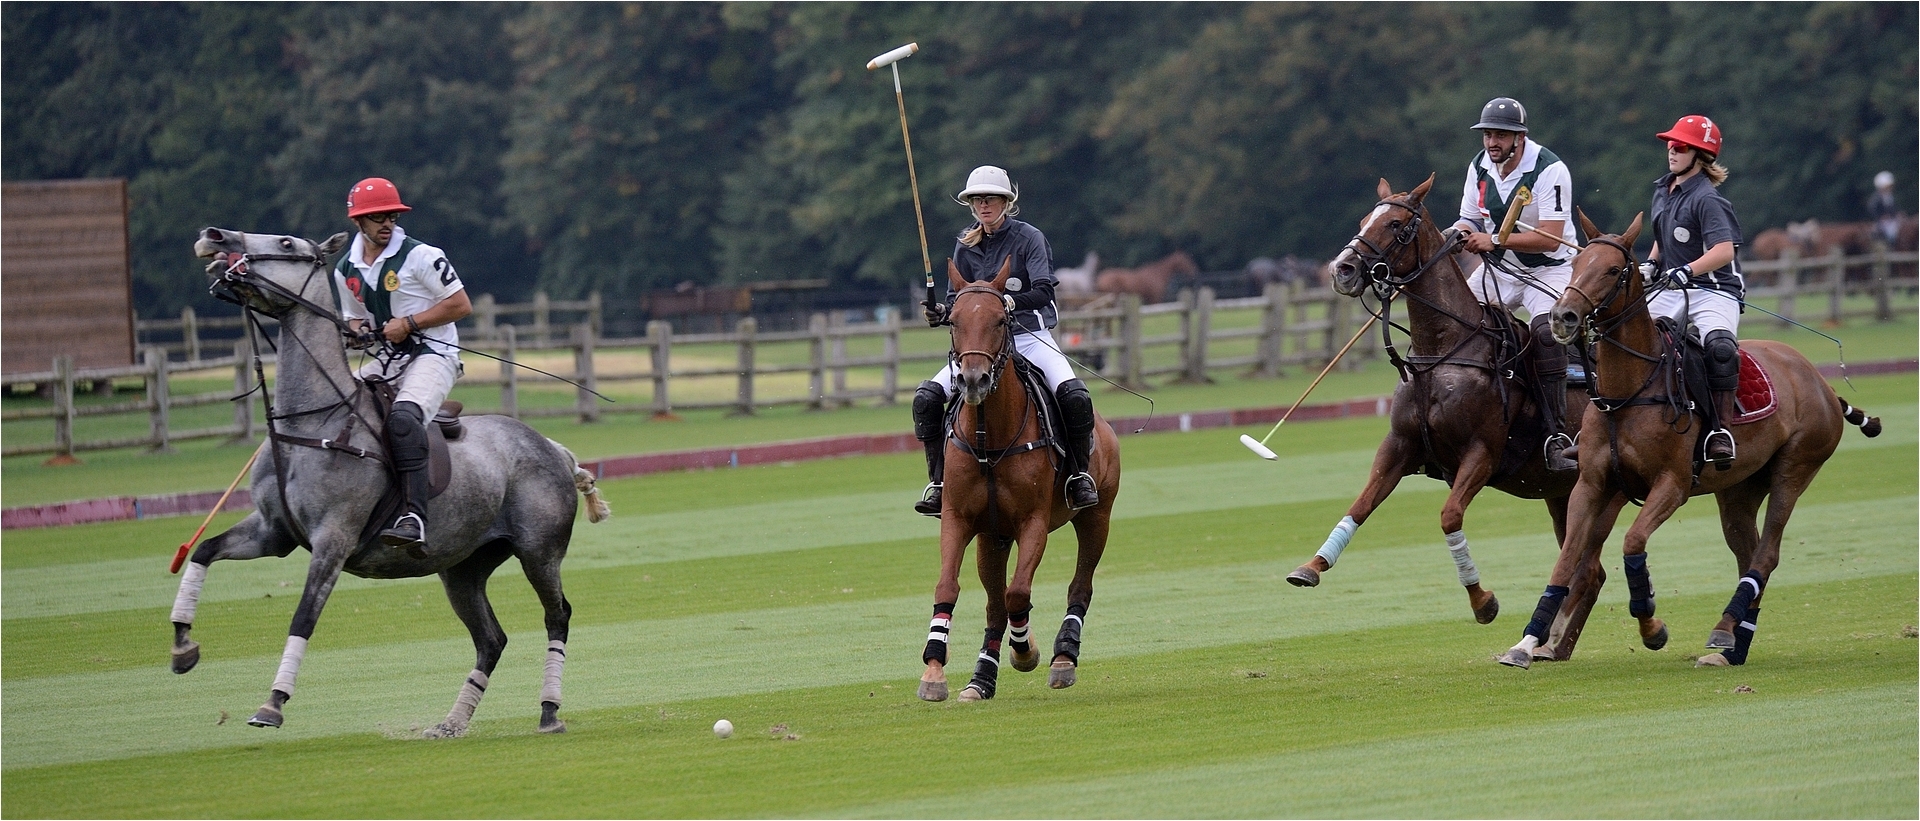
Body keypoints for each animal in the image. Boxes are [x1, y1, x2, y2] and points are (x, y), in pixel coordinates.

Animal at [170, 227, 611, 735]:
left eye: (286, 244)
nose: (213, 237)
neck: (310, 422)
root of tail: (554, 448)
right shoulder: (272, 533)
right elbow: (203, 551)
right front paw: (182, 646)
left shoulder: (334, 539)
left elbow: (303, 617)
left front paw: (273, 704)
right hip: (462, 567)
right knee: (491, 638)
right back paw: (452, 722)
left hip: (539, 551)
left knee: (557, 616)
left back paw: (549, 711)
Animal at [917, 257, 1122, 702]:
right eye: (954, 319)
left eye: (999, 319)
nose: (972, 380)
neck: (989, 438)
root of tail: (1105, 426)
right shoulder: (959, 519)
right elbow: (947, 588)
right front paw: (935, 670)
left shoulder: (1033, 523)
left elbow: (1019, 593)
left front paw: (1026, 652)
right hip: (992, 536)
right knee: (994, 605)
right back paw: (980, 679)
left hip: (1096, 517)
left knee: (1079, 587)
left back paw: (1062, 659)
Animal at [1286, 175, 1604, 661]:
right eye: (1365, 218)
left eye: (1395, 224)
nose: (1342, 270)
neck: (1443, 348)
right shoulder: (1399, 446)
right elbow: (1360, 505)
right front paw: (1311, 566)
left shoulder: (1482, 453)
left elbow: (1450, 516)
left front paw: (1483, 602)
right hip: (1561, 494)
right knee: (1589, 571)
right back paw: (1551, 647)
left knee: (1588, 569)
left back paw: (1546, 645)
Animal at [1496, 211, 1881, 669]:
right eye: (1575, 264)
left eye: (1612, 269)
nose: (1563, 317)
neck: (1628, 392)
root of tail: (1821, 382)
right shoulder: (1590, 483)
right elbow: (1568, 558)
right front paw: (1525, 643)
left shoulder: (1672, 484)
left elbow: (1632, 543)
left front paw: (1651, 625)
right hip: (1739, 488)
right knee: (1749, 553)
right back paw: (1732, 647)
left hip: (1796, 466)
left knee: (1767, 553)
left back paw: (1723, 630)